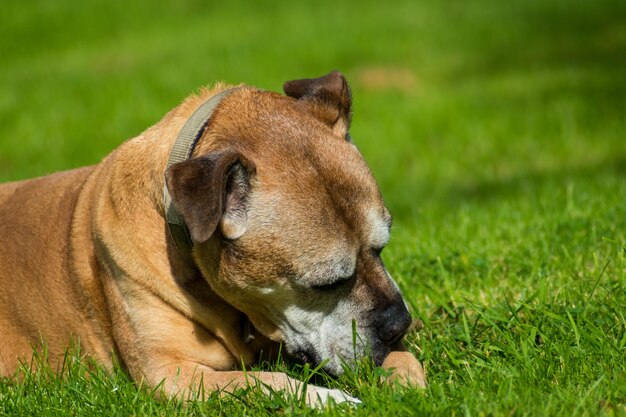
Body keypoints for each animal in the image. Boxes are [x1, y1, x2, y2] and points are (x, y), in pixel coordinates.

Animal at [0, 70, 424, 404]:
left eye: (381, 249)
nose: (398, 323)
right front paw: (330, 398)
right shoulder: (171, 375)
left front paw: (407, 376)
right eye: (324, 285)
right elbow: (264, 382)